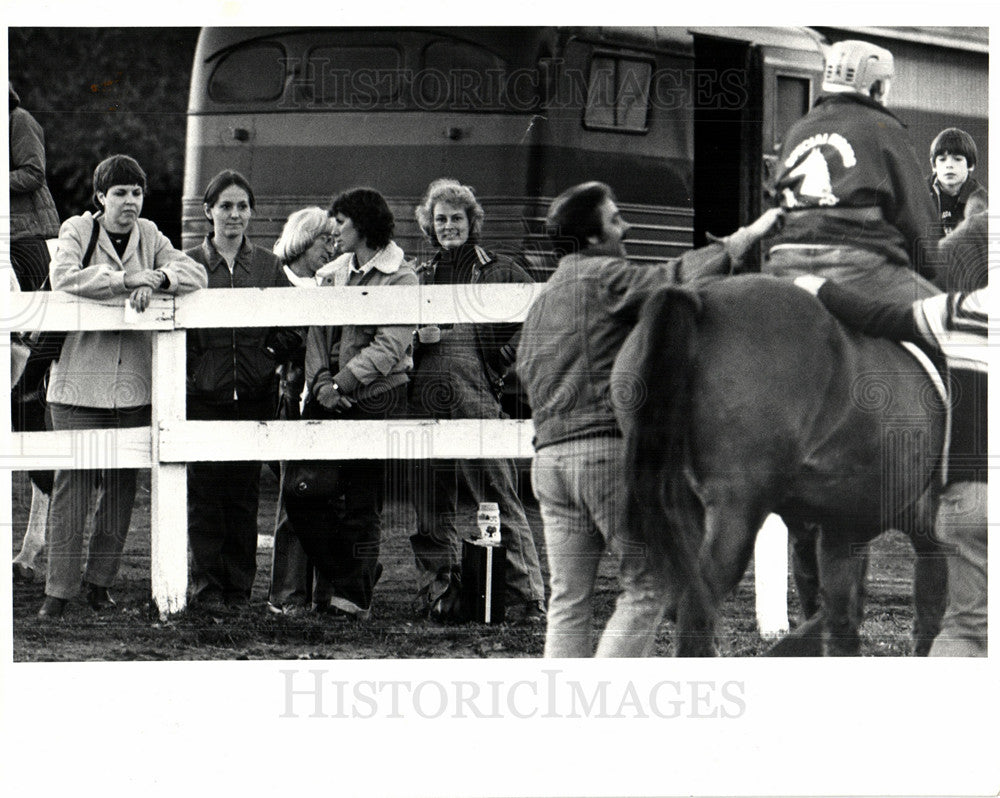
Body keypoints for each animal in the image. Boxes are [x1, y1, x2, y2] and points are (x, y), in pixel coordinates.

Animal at [612, 276, 948, 656]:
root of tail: (699, 298)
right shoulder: (914, 533)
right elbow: (916, 614)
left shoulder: (840, 531)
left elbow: (838, 614)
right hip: (735, 514)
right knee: (696, 609)